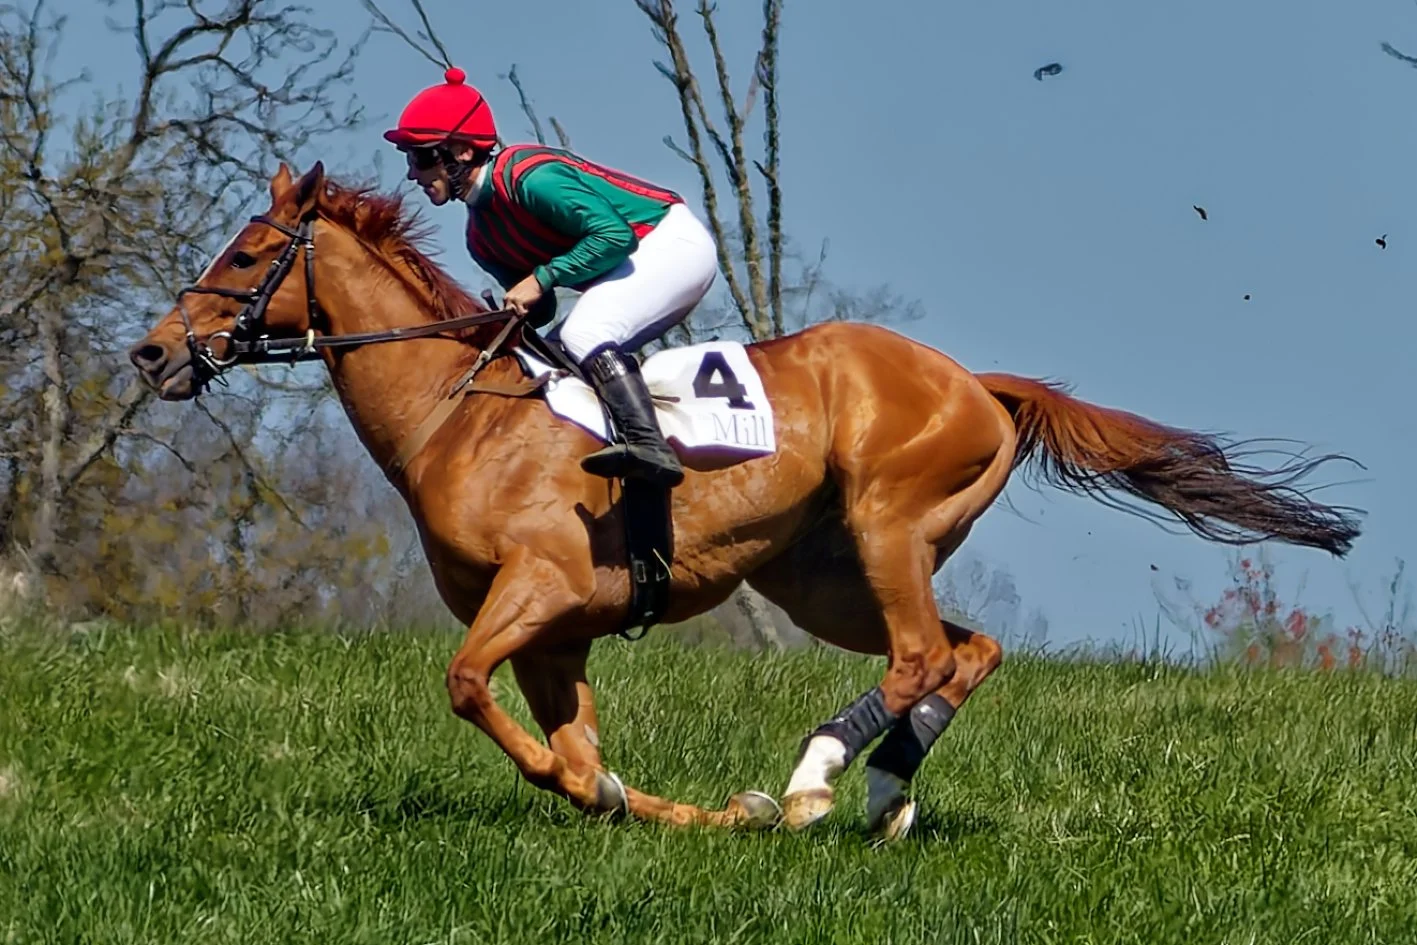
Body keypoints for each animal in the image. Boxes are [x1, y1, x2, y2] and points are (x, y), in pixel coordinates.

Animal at [127, 162, 1363, 839]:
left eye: (246, 254)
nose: (151, 353)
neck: (458, 413)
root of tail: (978, 381)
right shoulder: (560, 636)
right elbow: (578, 758)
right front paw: (663, 806)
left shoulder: (538, 591)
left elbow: (469, 688)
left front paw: (719, 800)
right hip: (822, 576)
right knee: (968, 650)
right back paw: (883, 791)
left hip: (883, 524)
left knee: (924, 653)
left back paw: (820, 778)